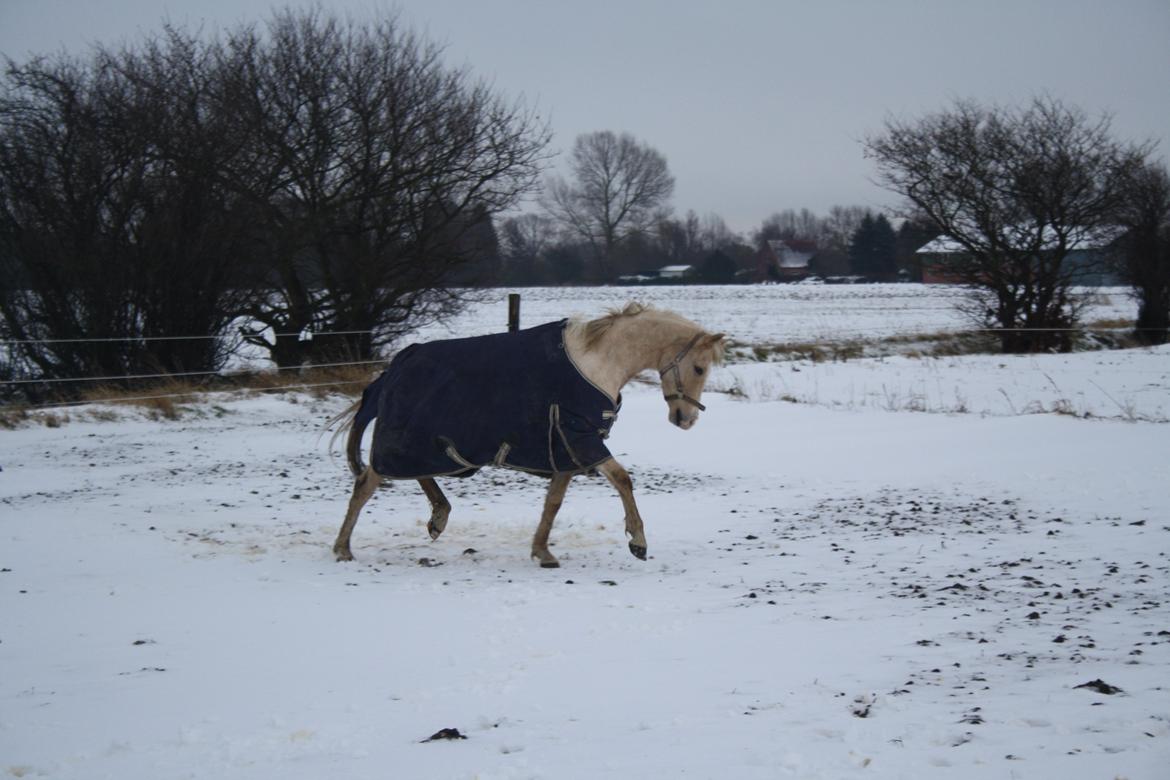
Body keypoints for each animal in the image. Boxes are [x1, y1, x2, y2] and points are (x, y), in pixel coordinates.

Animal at [329, 304, 720, 568]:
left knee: (412, 473)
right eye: (699, 368)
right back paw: (343, 548)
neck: (596, 363)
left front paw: (542, 551)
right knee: (367, 483)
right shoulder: (582, 439)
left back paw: (438, 517)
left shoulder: (563, 447)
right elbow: (623, 480)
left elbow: (553, 502)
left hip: (435, 446)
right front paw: (638, 542)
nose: (685, 419)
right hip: (409, 440)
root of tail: (397, 365)